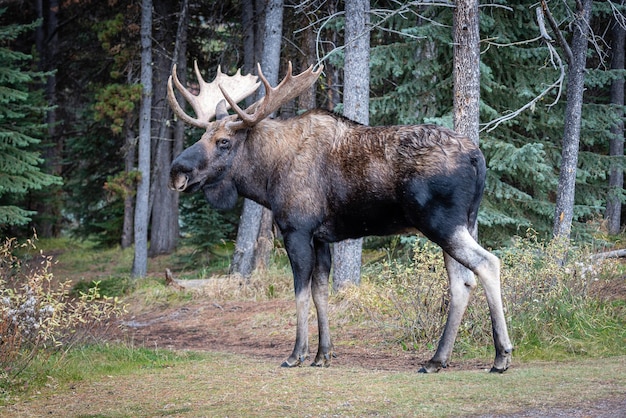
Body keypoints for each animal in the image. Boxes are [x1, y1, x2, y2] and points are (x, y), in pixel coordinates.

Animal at [167, 61, 512, 372]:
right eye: (202, 137)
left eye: (223, 142)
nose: (176, 171)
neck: (266, 177)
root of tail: (478, 157)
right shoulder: (321, 237)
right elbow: (320, 292)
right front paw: (323, 355)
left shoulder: (296, 230)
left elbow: (300, 293)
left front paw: (296, 354)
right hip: (461, 223)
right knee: (462, 282)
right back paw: (437, 359)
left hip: (442, 223)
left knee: (487, 263)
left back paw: (500, 356)